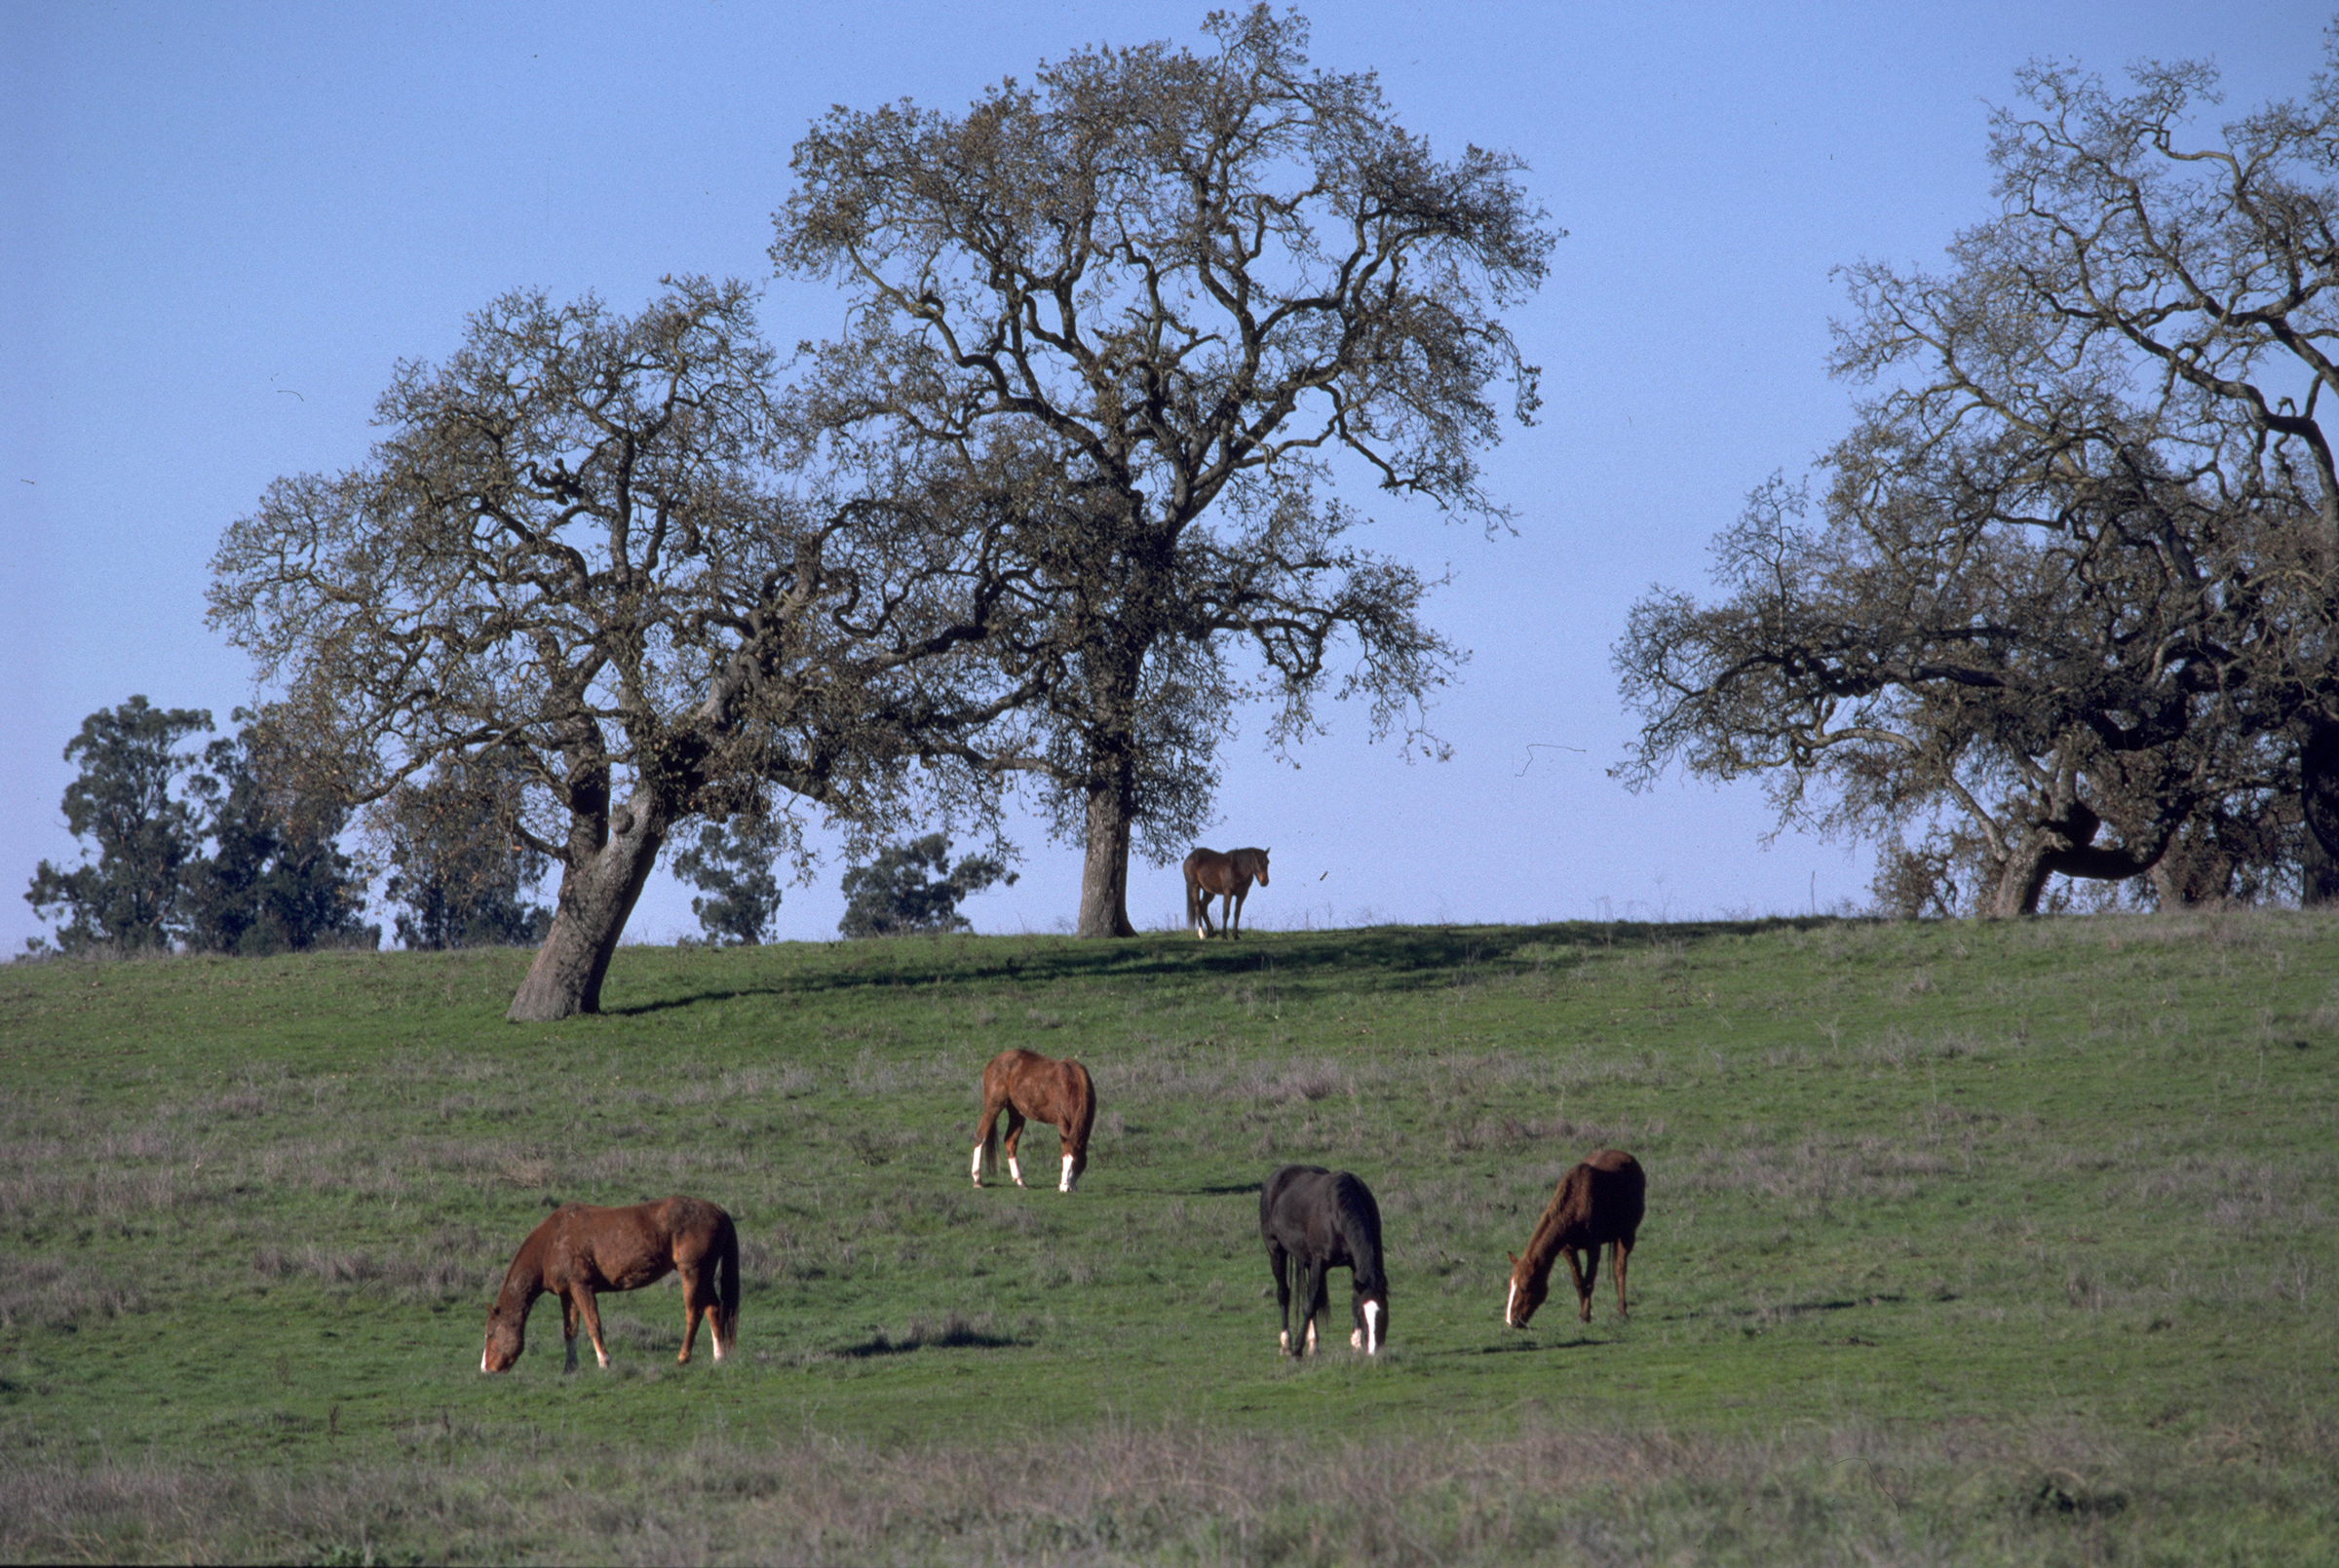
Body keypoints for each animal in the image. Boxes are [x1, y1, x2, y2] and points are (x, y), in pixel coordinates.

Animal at [488, 1207, 744, 1376]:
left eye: (490, 1334)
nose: (486, 1368)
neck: (552, 1241)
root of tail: (720, 1212)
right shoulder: (568, 1293)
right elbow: (570, 1330)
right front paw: (570, 1367)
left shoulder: (582, 1287)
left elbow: (593, 1324)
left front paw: (604, 1361)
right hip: (704, 1276)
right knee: (713, 1309)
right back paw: (719, 1356)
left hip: (692, 1273)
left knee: (694, 1313)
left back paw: (683, 1358)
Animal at [968, 1048, 1094, 1198]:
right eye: (1062, 1159)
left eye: (1077, 1162)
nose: (1065, 1188)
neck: (1071, 1082)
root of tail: (992, 1063)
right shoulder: (1063, 1122)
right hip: (993, 1106)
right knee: (981, 1135)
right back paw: (977, 1179)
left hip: (1016, 1113)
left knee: (1010, 1142)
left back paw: (1020, 1182)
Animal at [1263, 1165, 1384, 1366]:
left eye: (1381, 1314)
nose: (1374, 1351)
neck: (1338, 1214)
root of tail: (1276, 1175)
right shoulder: (1319, 1262)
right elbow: (1309, 1304)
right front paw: (1296, 1351)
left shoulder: (1353, 1266)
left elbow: (1349, 1300)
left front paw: (1356, 1346)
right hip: (1275, 1250)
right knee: (1283, 1293)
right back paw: (1286, 1344)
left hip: (1307, 1261)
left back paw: (1313, 1345)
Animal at [1497, 1156, 1646, 1329]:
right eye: (1511, 1285)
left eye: (1526, 1287)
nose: (1512, 1321)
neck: (1577, 1203)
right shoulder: (1568, 1249)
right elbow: (1579, 1281)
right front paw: (1583, 1315)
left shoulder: (1593, 1248)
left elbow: (1589, 1281)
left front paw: (1585, 1314)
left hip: (1626, 1236)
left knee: (1620, 1270)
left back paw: (1623, 1311)